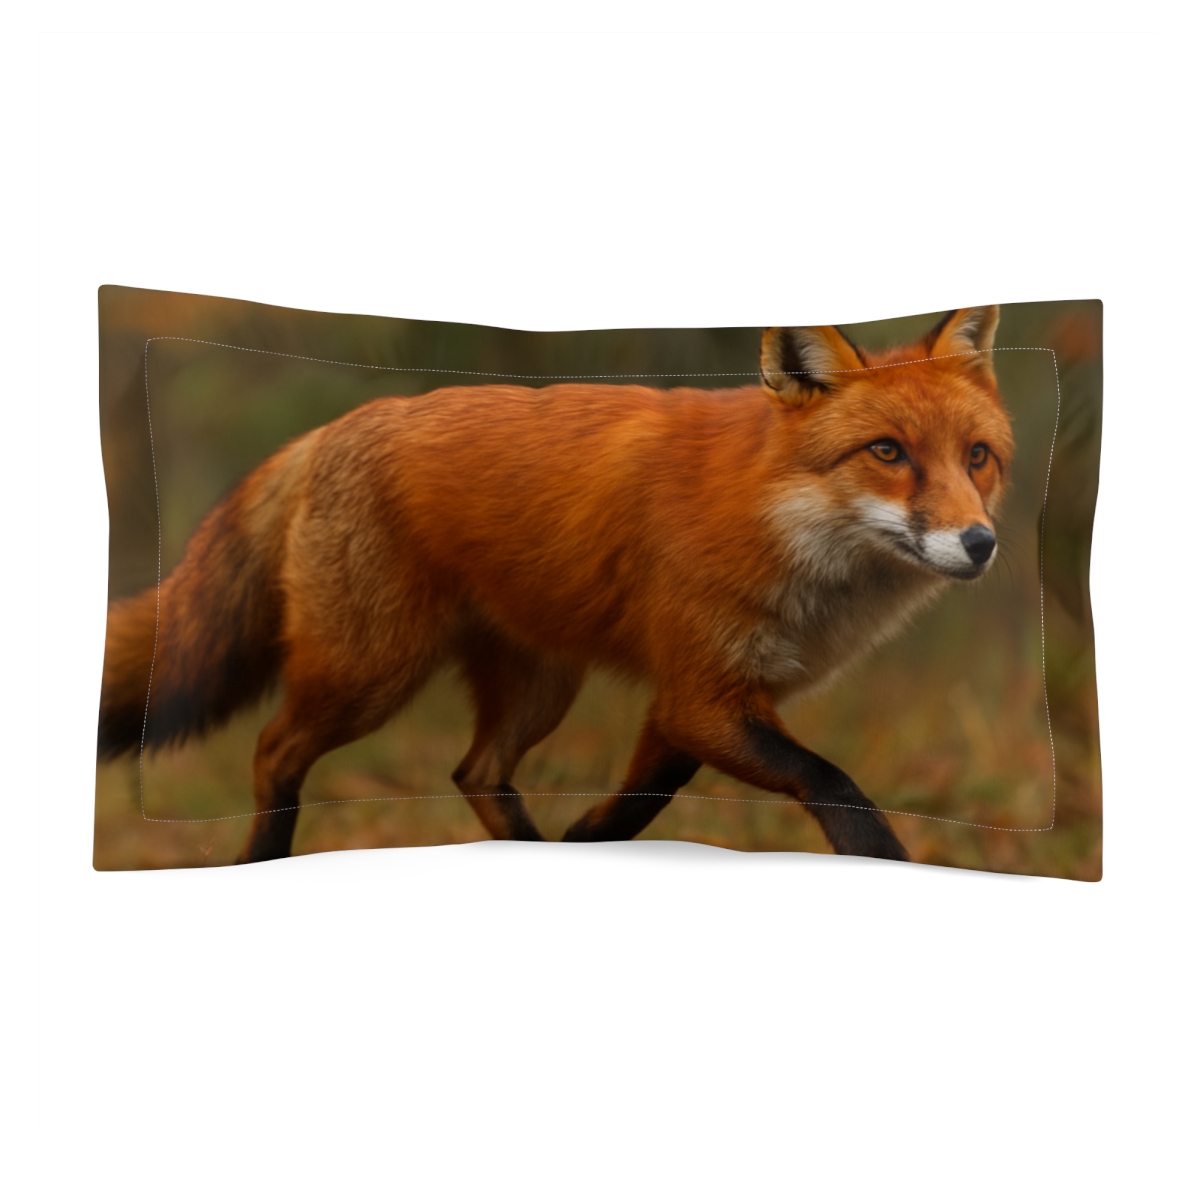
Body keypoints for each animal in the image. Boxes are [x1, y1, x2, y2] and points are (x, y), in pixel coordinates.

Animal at [98, 306, 1014, 864]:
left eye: (978, 457)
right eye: (888, 452)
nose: (981, 544)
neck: (774, 517)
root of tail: (328, 430)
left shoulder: (695, 703)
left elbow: (642, 799)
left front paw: (585, 841)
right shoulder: (702, 693)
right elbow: (837, 790)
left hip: (539, 686)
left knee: (475, 771)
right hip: (370, 674)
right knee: (272, 749)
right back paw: (260, 856)